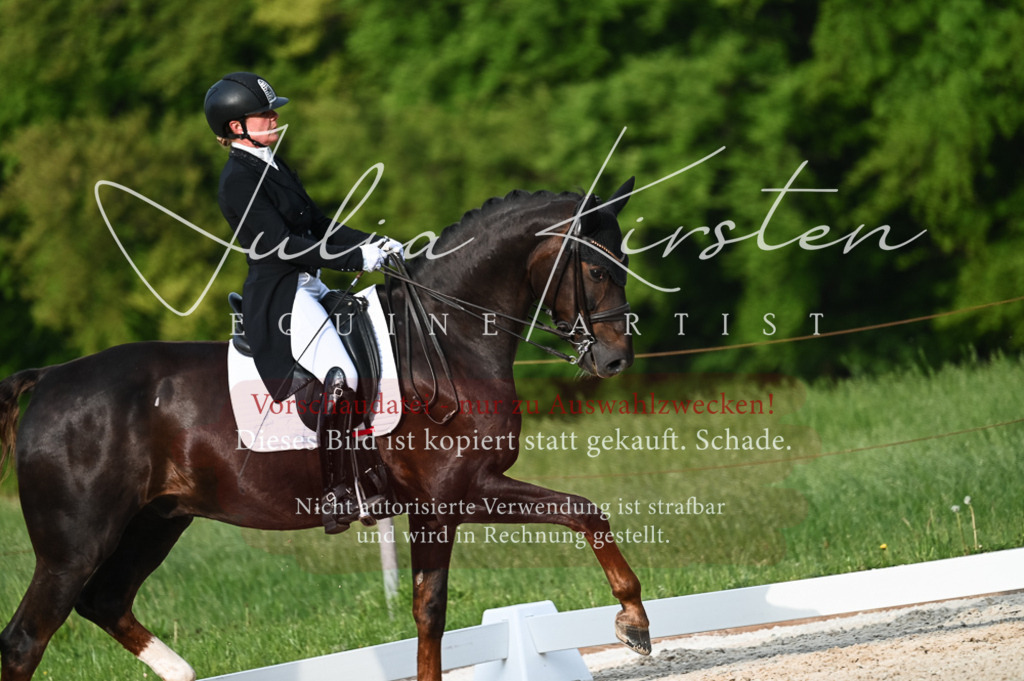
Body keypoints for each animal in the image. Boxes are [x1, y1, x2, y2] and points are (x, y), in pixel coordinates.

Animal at [0, 179, 650, 681]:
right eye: (596, 268)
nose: (616, 360)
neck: (447, 338)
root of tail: (49, 377)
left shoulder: (438, 505)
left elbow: (433, 607)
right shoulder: (458, 491)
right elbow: (578, 514)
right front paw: (634, 621)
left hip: (157, 520)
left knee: (105, 601)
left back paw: (180, 670)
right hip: (74, 544)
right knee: (26, 640)